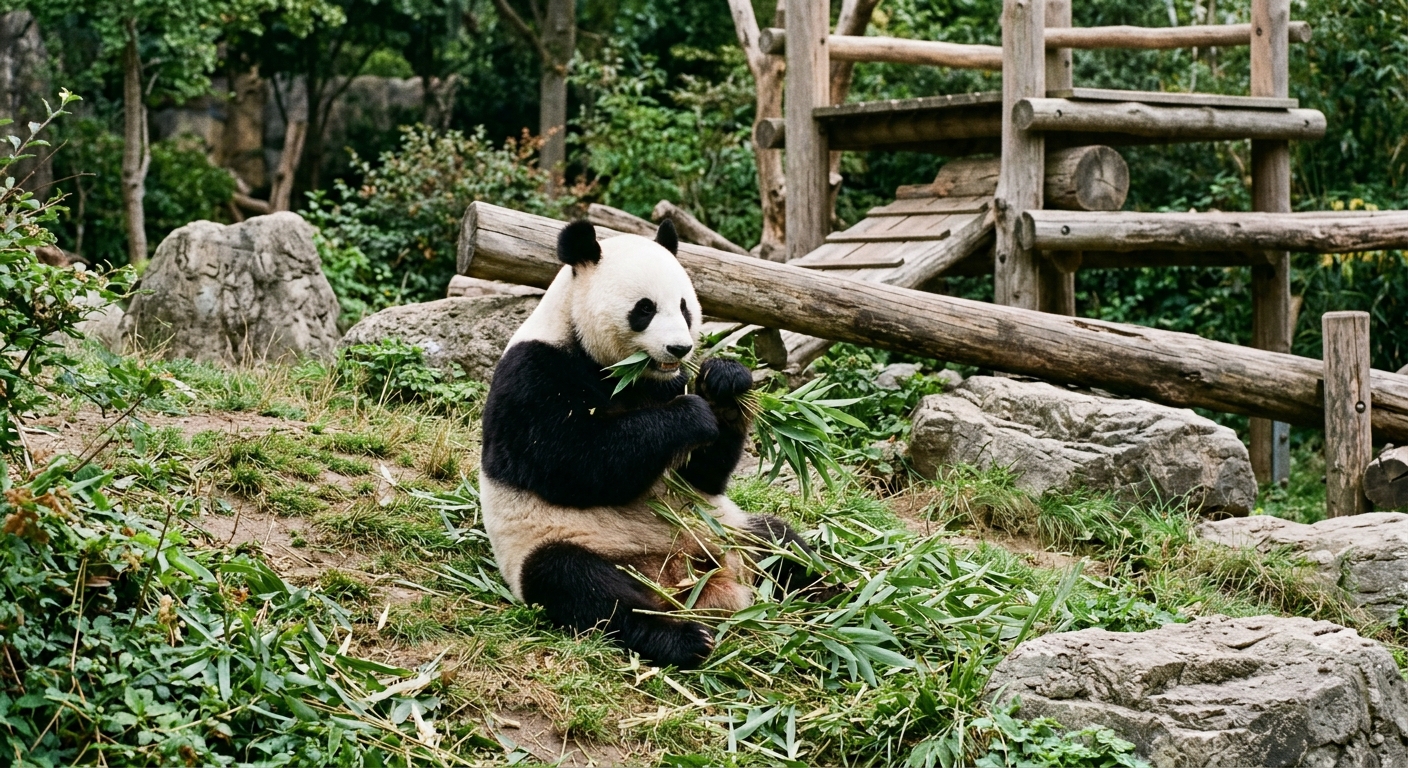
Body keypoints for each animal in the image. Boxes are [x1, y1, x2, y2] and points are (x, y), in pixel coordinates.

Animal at [479, 218, 826, 668]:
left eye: (684, 306)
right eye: (644, 309)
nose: (679, 348)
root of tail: (691, 581)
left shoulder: (667, 382)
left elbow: (704, 477)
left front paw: (725, 382)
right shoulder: (532, 375)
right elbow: (573, 463)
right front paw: (692, 415)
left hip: (729, 531)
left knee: (781, 544)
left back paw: (836, 594)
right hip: (557, 544)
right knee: (583, 586)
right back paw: (683, 638)